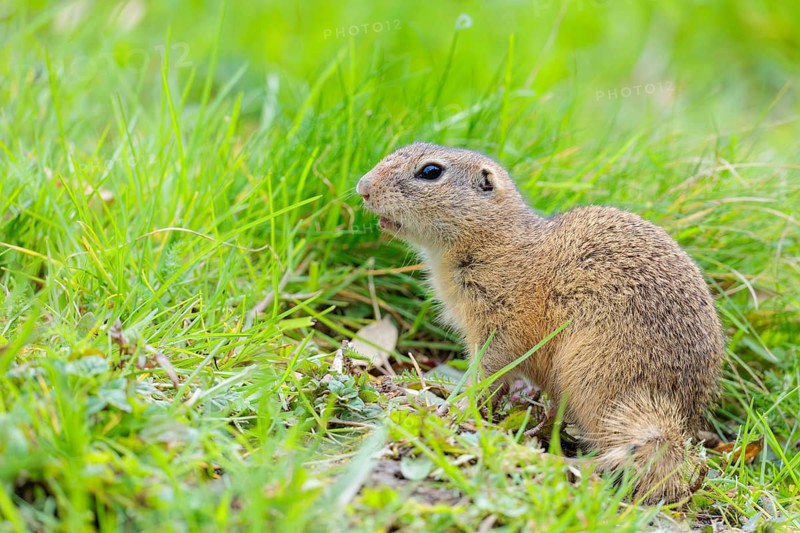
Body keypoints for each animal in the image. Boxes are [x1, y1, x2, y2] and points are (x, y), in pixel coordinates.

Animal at [356, 143, 725, 504]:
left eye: (430, 171)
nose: (362, 187)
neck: (497, 239)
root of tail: (676, 420)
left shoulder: (500, 324)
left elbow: (487, 371)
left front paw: (451, 406)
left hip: (593, 372)